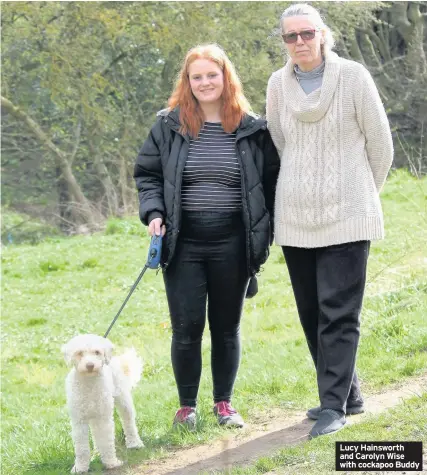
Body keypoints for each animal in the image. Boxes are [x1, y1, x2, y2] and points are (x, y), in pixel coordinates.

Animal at [62, 336, 145, 474]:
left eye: (97, 352)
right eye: (79, 353)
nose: (90, 365)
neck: (89, 382)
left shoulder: (104, 418)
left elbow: (106, 442)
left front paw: (111, 463)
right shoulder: (79, 420)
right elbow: (81, 448)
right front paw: (80, 468)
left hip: (123, 401)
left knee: (128, 423)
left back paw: (134, 443)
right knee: (96, 435)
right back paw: (96, 453)